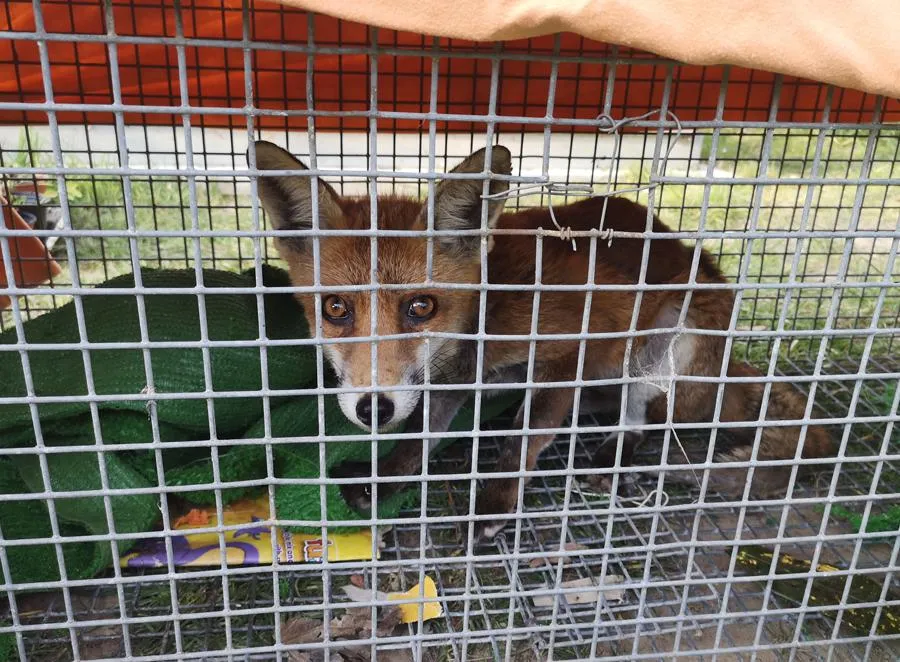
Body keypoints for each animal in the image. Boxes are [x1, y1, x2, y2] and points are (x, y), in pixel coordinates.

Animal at [251, 141, 836, 544]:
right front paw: (387, 479)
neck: (485, 319)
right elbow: (420, 438)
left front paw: (494, 505)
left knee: (640, 420)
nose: (374, 408)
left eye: (421, 307)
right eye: (335, 309)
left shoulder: (570, 350)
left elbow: (524, 441)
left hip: (666, 344)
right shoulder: (450, 382)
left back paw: (612, 455)